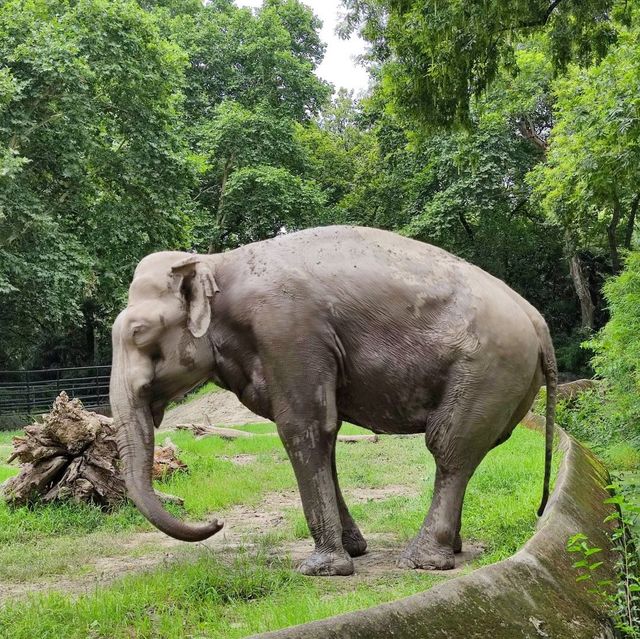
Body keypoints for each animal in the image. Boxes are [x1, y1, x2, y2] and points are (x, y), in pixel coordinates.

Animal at [110, 226, 556, 580]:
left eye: (139, 332)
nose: (215, 520)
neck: (213, 262)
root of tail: (538, 320)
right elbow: (327, 436)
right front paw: (353, 549)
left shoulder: (287, 330)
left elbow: (303, 428)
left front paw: (322, 569)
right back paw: (452, 548)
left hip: (487, 369)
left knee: (448, 448)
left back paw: (423, 561)